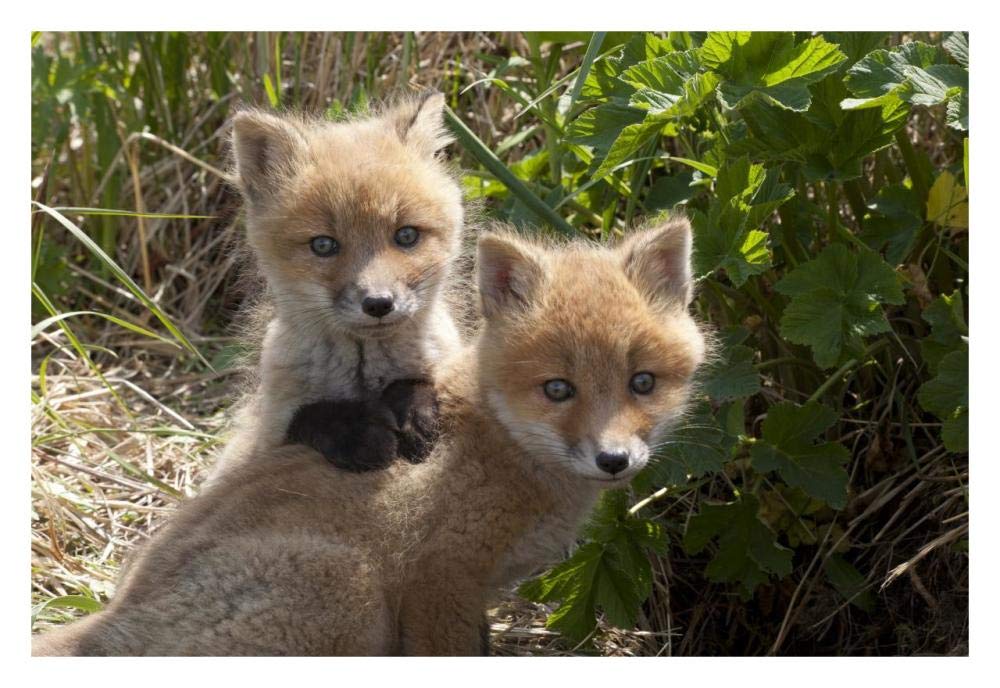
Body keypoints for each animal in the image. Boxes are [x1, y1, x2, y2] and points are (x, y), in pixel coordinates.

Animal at [32, 219, 705, 656]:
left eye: (642, 382)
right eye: (558, 389)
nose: (614, 459)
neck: (501, 445)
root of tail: (115, 620)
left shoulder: (472, 595)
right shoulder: (440, 579)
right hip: (350, 592)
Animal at [212, 93, 465, 477]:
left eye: (406, 236)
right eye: (323, 245)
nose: (378, 303)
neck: (364, 375)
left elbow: (420, 382)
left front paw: (413, 413)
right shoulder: (263, 436)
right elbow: (311, 415)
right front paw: (359, 433)